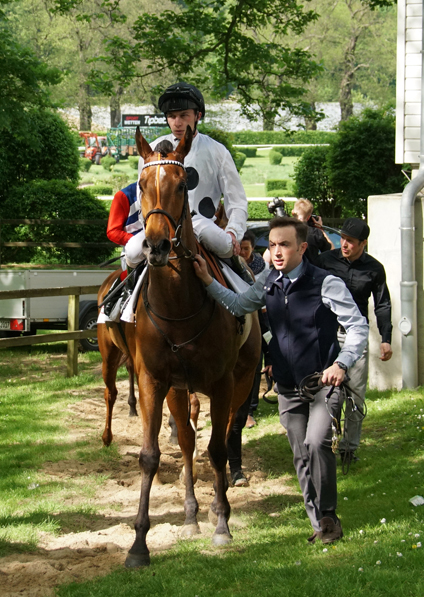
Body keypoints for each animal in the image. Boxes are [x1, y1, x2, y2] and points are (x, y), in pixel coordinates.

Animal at [99, 123, 262, 564]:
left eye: (181, 183)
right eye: (141, 184)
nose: (155, 246)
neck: (179, 307)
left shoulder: (223, 383)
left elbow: (219, 448)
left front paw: (222, 524)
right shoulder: (156, 380)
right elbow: (151, 455)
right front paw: (139, 544)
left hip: (240, 380)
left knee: (224, 434)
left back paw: (217, 505)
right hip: (170, 383)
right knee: (187, 440)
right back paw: (190, 513)